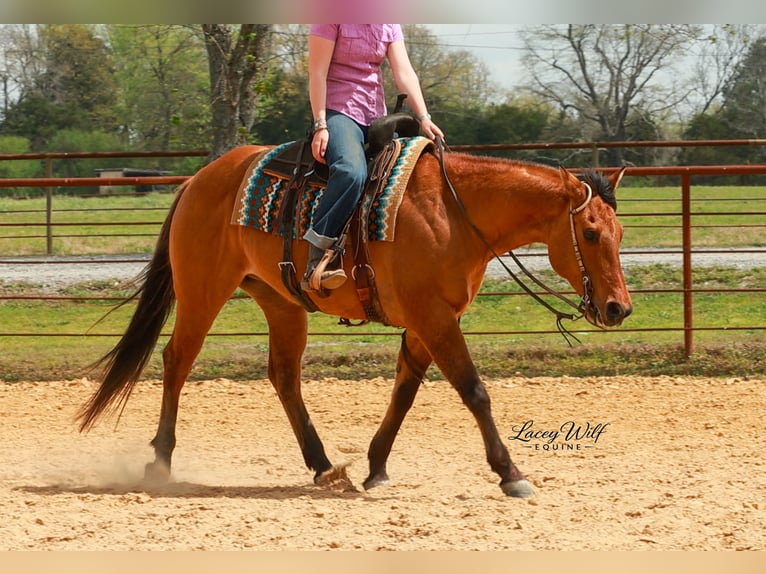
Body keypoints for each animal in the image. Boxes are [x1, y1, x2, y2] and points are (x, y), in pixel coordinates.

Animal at [77, 141, 632, 498]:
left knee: (283, 375)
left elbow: (404, 392)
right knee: (178, 359)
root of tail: (199, 178)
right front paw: (511, 473)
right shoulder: (435, 317)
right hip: (202, 291)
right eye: (589, 233)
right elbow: (474, 390)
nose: (617, 308)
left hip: (281, 302)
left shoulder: (428, 319)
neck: (454, 212)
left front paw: (376, 467)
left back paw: (324, 467)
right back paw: (160, 461)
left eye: (619, 232)